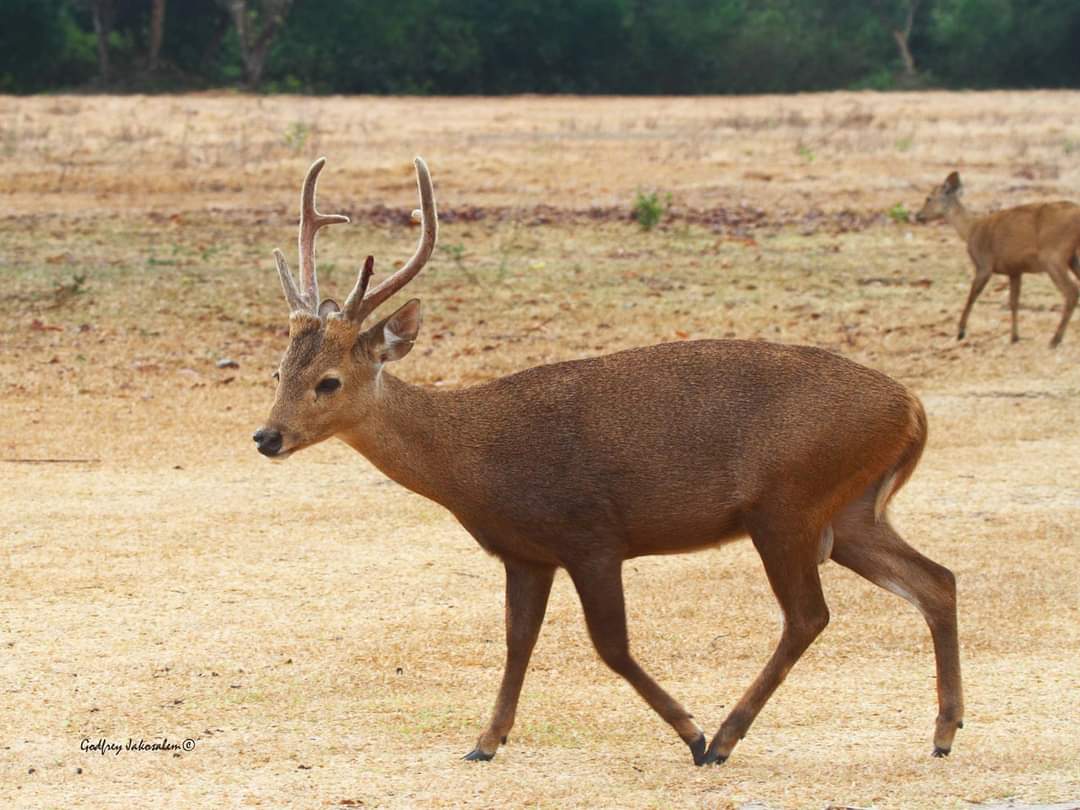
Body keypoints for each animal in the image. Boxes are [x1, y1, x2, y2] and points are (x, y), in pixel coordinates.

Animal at [253, 157, 963, 767]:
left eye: (329, 382)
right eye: (280, 370)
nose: (267, 437)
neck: (473, 462)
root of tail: (913, 408)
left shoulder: (591, 534)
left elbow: (610, 645)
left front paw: (690, 732)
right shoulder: (526, 552)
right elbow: (517, 641)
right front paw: (486, 740)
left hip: (788, 502)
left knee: (809, 615)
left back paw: (725, 737)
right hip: (851, 511)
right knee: (937, 580)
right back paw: (944, 731)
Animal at [915, 171, 1080, 347]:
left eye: (928, 198)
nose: (918, 215)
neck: (970, 229)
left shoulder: (984, 264)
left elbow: (972, 295)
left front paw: (961, 332)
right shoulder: (1014, 270)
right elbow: (1014, 301)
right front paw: (1014, 337)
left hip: (1053, 256)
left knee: (1071, 291)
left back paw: (1055, 340)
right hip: (1071, 258)